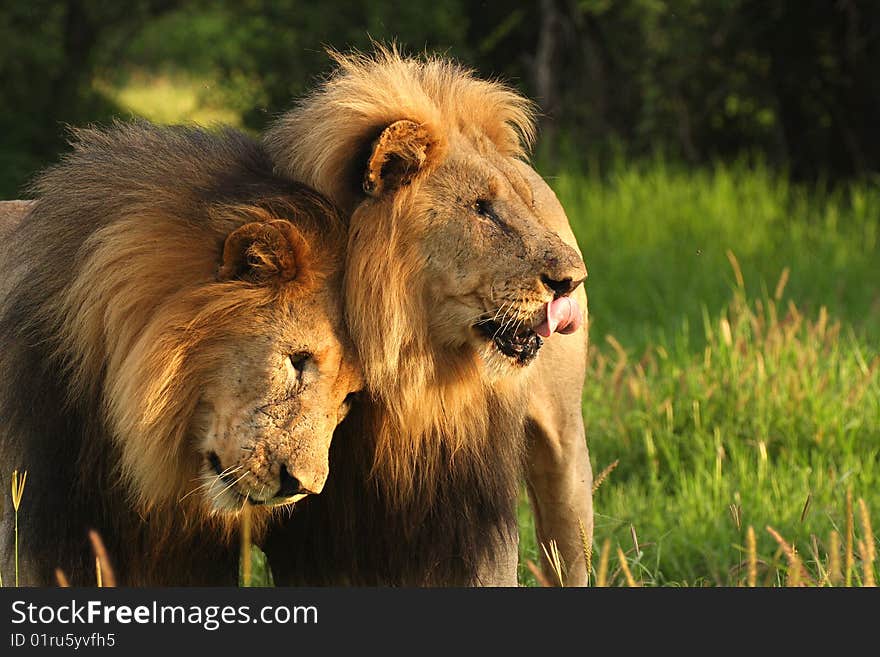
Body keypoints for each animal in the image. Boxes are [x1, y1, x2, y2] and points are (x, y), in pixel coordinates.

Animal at [262, 44, 592, 584]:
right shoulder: (316, 526)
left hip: (564, 451)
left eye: (524, 205)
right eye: (481, 208)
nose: (573, 280)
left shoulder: (469, 501)